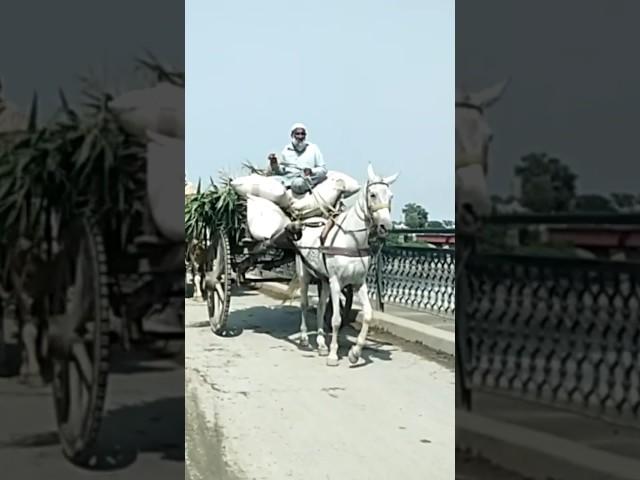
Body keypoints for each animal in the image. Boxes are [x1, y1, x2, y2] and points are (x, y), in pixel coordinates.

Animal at [294, 163, 396, 366]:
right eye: (373, 194)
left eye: (390, 196)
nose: (385, 227)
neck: (352, 241)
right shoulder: (336, 282)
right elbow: (336, 319)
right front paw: (334, 354)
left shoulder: (359, 283)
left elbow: (368, 315)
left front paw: (355, 352)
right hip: (304, 274)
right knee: (304, 303)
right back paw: (304, 338)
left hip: (323, 279)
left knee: (320, 307)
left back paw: (321, 343)